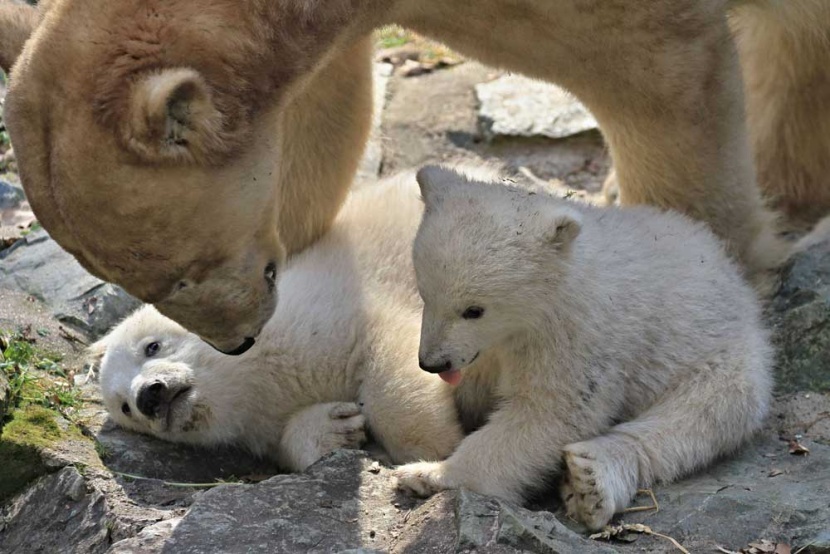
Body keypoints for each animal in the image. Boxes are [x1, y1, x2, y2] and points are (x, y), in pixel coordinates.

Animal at [94, 175, 472, 468]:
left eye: (152, 346)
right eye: (126, 408)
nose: (149, 395)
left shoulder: (330, 308)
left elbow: (390, 351)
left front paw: (431, 445)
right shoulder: (262, 424)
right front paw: (337, 427)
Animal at [394, 166, 772, 528]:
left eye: (474, 310)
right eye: (425, 293)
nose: (432, 362)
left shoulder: (575, 335)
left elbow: (550, 412)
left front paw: (427, 473)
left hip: (720, 349)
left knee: (706, 410)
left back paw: (592, 479)